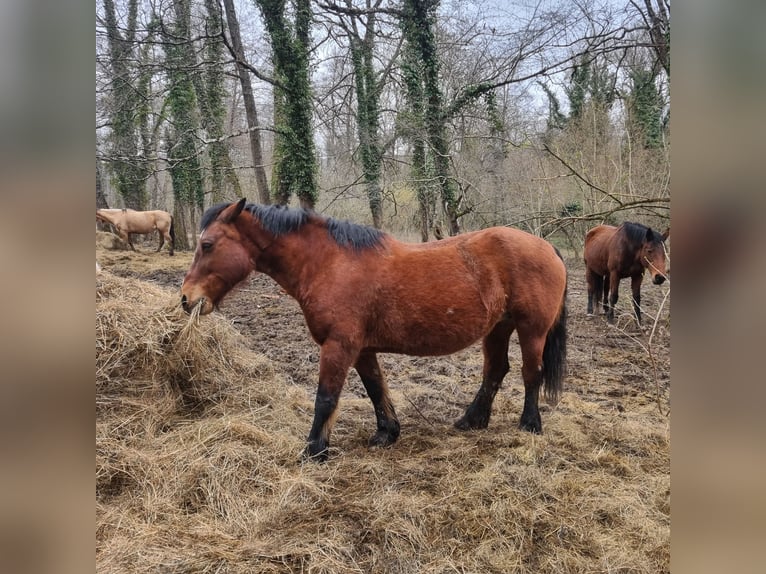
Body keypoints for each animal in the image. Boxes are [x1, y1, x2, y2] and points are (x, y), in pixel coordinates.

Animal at [181, 199, 568, 461]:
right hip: (498, 328)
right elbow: (375, 389)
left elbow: (326, 398)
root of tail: (546, 246)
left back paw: (530, 424)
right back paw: (472, 420)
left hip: (531, 330)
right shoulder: (362, 349)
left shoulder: (339, 346)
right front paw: (386, 433)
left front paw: (314, 450)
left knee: (530, 372)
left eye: (208, 244)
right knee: (495, 370)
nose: (186, 298)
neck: (329, 263)